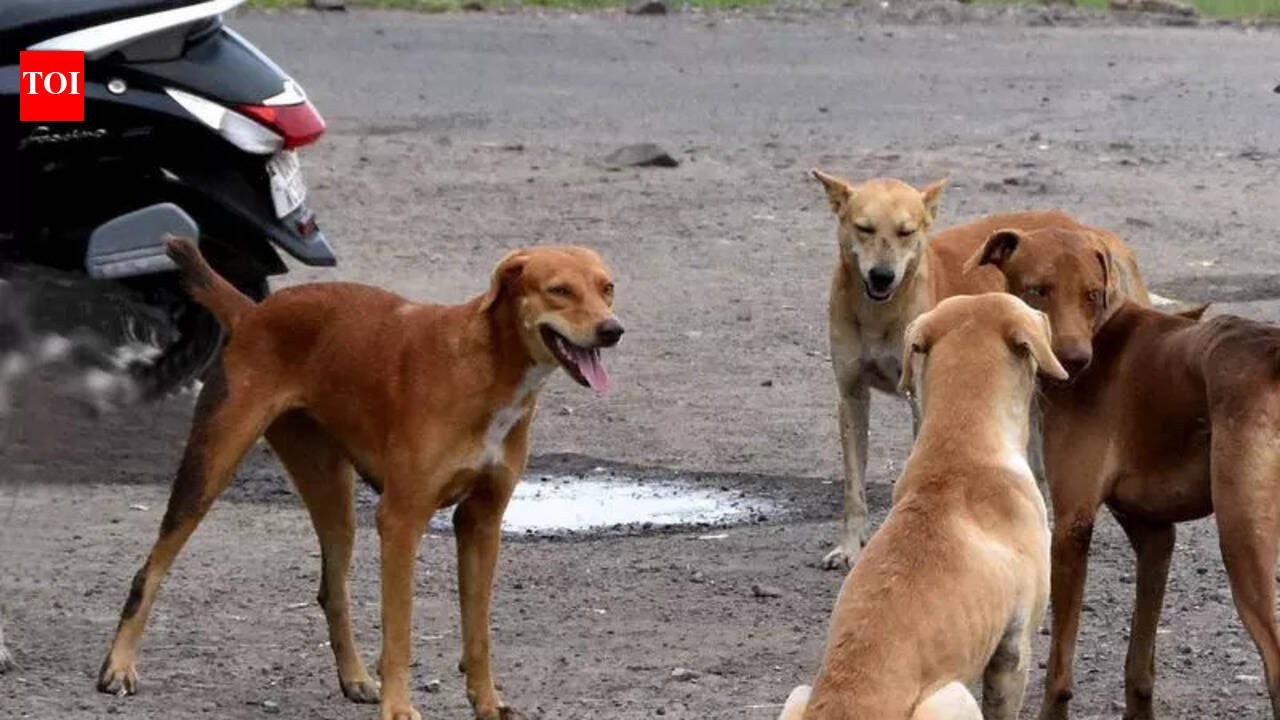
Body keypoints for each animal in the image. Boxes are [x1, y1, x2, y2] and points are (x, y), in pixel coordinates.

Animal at [97, 238, 623, 720]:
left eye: (607, 288)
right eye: (559, 290)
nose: (612, 330)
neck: (488, 366)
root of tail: (252, 314)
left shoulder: (482, 523)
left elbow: (478, 632)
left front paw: (487, 702)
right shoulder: (401, 521)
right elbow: (399, 632)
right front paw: (399, 707)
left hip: (333, 496)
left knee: (333, 591)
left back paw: (354, 678)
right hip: (208, 470)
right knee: (150, 571)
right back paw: (118, 667)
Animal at [811, 169, 1152, 569]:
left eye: (906, 232)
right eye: (863, 228)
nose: (882, 275)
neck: (879, 313)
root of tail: (1086, 227)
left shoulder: (921, 403)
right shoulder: (851, 396)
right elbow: (854, 488)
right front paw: (850, 547)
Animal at [969, 225, 1280, 719]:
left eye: (1092, 294)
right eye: (1037, 290)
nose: (1076, 361)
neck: (1103, 332)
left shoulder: (1072, 527)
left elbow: (1059, 673)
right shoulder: (1155, 538)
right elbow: (1139, 666)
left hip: (1243, 543)